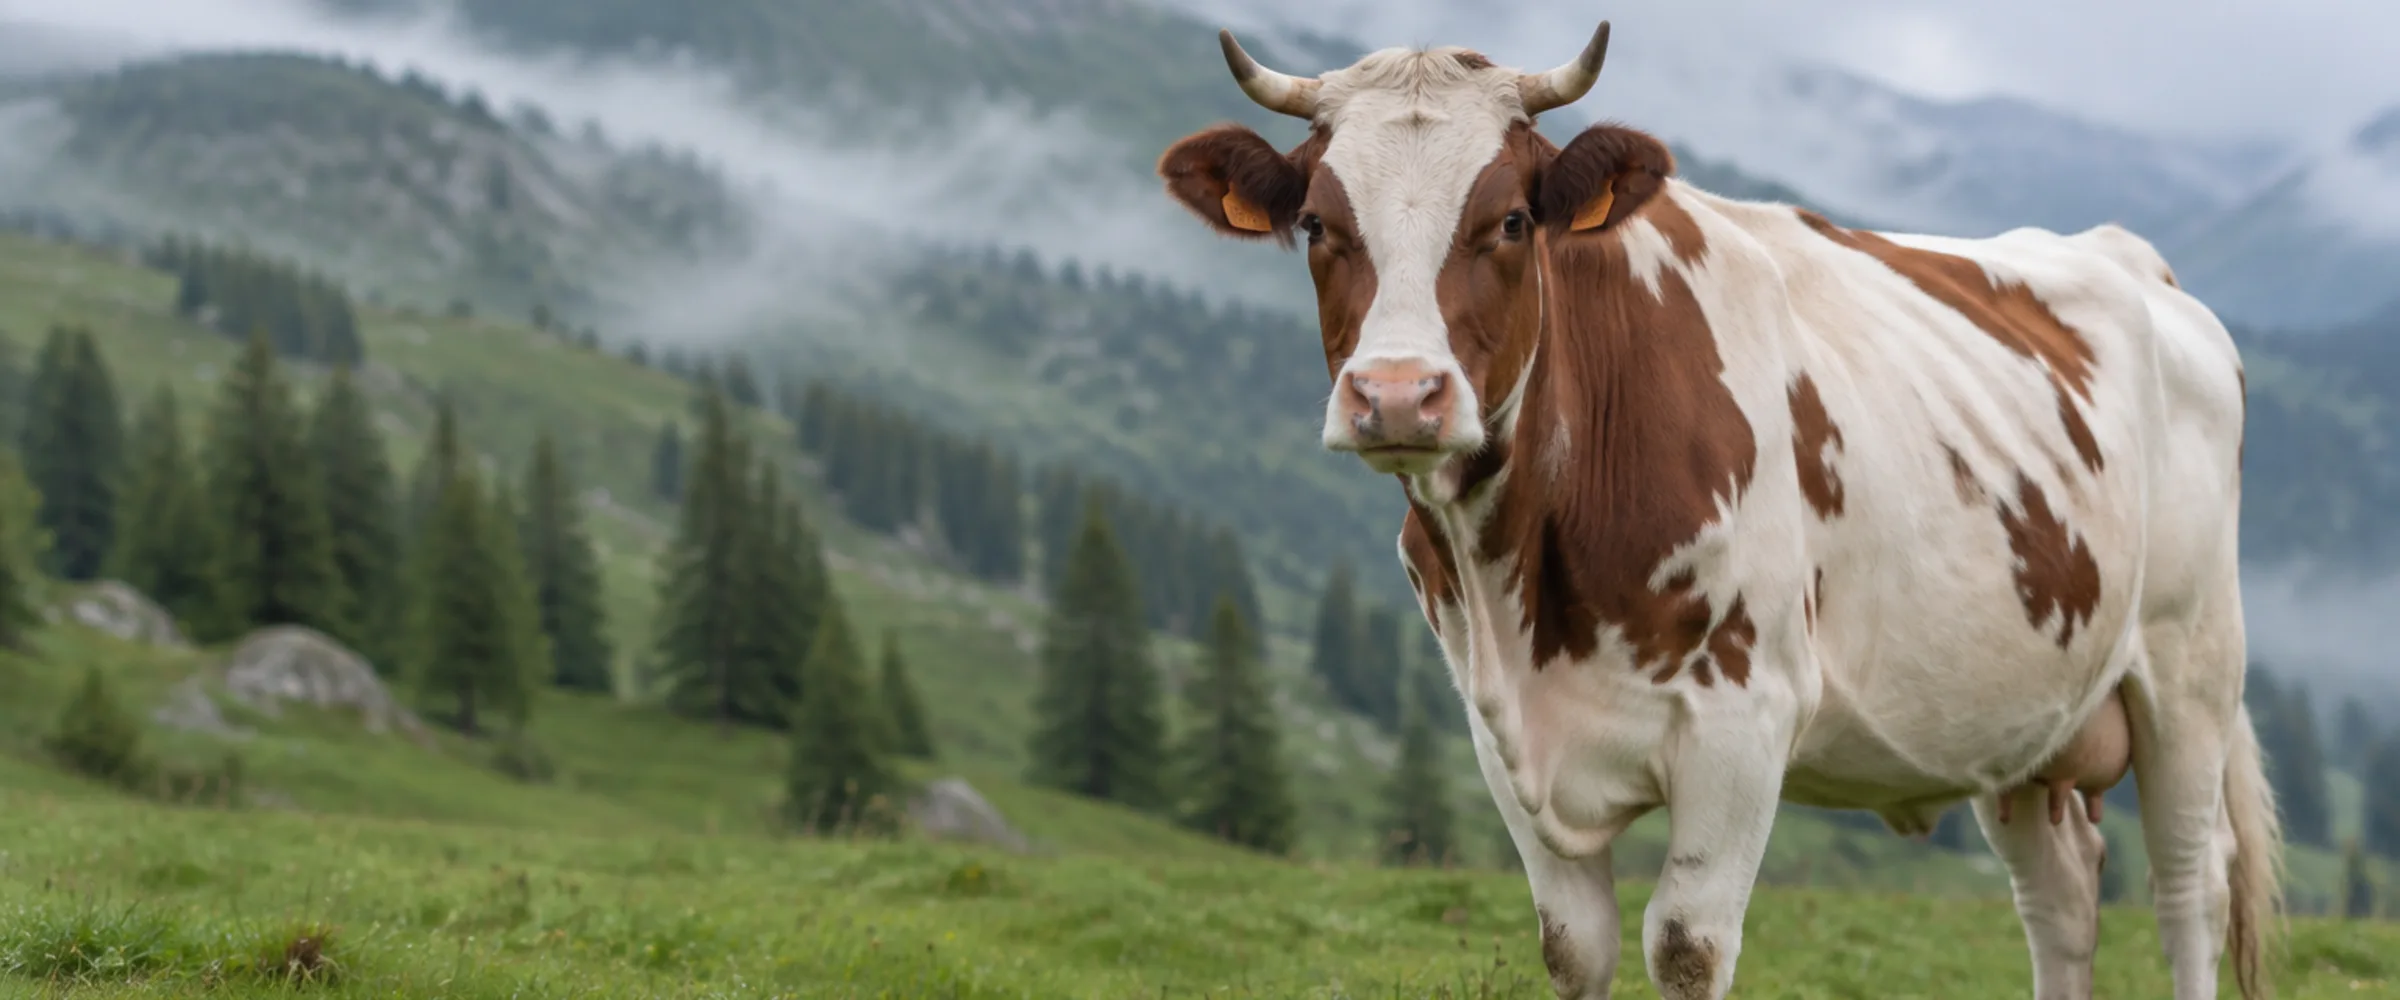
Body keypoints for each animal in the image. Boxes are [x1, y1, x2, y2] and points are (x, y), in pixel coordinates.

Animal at [1155, 20, 2280, 1000]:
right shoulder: (1496, 730)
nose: (1396, 394)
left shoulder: (1746, 717)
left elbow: (1687, 948)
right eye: (1317, 225)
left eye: (1510, 221)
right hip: (2019, 719)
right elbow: (1574, 946)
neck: (1528, 584)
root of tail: (2130, 258)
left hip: (2187, 672)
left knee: (2187, 889)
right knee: (2061, 897)